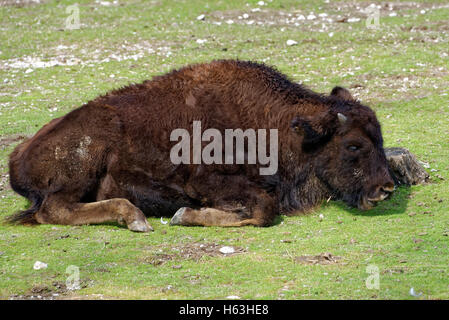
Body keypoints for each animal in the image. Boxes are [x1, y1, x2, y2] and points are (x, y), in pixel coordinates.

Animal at [6, 59, 392, 232]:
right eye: (353, 145)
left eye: (380, 138)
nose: (386, 188)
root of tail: (19, 154)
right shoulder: (207, 181)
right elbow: (264, 209)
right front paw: (184, 214)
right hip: (84, 161)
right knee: (54, 209)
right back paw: (134, 217)